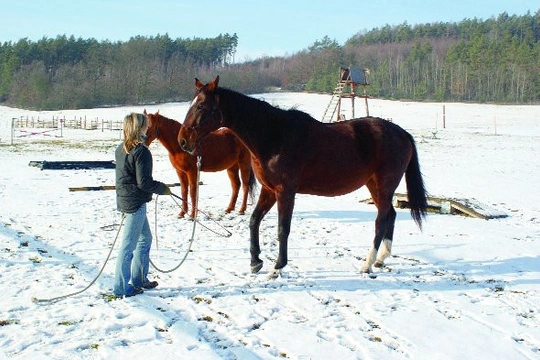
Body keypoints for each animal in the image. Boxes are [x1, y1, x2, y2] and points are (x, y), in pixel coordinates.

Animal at [179, 75, 428, 272]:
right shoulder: (269, 190)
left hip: (384, 186)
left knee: (381, 220)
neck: (273, 136)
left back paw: (367, 264)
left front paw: (277, 267)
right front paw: (255, 262)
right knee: (390, 216)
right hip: (374, 186)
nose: (183, 141)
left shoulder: (285, 192)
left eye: (201, 107)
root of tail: (401, 133)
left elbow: (283, 228)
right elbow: (254, 220)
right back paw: (381, 259)